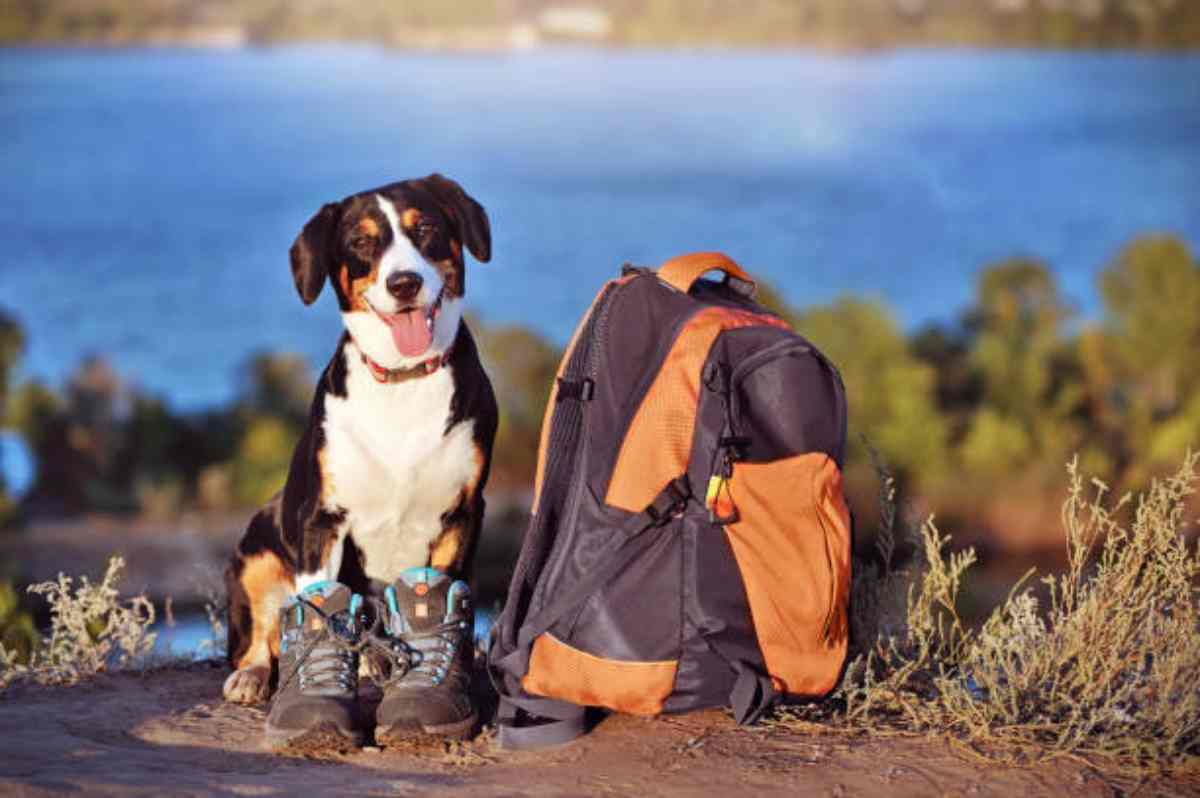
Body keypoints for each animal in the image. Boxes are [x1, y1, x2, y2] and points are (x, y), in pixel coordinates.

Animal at [223, 169, 494, 720]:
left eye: (426, 228)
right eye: (361, 242)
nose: (403, 283)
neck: (403, 379)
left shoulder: (462, 512)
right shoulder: (319, 519)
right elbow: (315, 603)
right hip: (256, 552)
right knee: (261, 635)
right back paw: (252, 676)